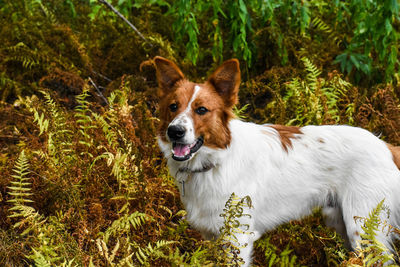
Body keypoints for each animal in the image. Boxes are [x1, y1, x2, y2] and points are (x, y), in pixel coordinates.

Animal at [155, 56, 400, 266]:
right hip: (342, 223)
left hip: (363, 229)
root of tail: (386, 147)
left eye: (202, 110)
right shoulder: (213, 236)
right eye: (173, 106)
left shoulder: (238, 238)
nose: (174, 131)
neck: (217, 160)